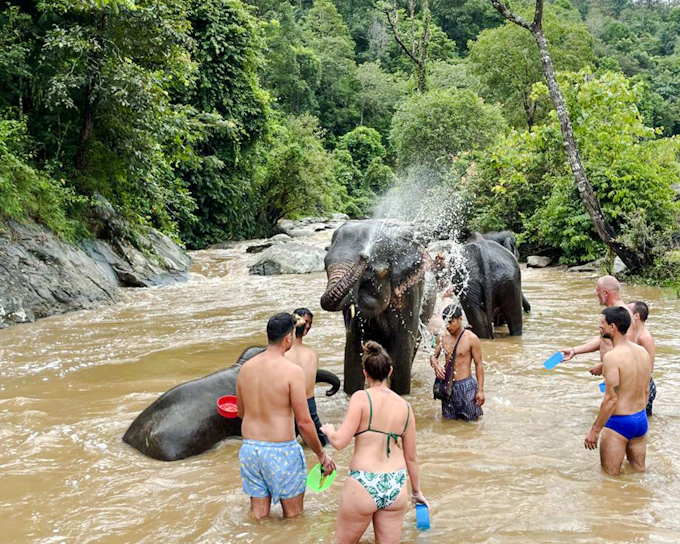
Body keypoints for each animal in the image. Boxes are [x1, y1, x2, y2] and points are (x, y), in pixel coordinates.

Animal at [320, 220, 436, 396]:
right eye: (326, 265)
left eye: (369, 270)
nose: (364, 255)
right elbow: (353, 351)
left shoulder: (409, 295)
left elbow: (401, 353)